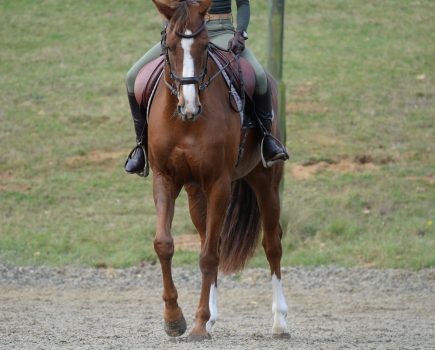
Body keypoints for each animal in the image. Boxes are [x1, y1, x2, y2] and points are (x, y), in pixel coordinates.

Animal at [148, 0, 292, 340]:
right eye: (169, 46)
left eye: (203, 46)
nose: (189, 106)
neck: (185, 123)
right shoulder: (165, 179)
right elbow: (165, 244)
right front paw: (175, 319)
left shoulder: (219, 184)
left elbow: (210, 255)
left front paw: (199, 323)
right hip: (195, 191)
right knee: (208, 238)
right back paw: (212, 316)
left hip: (265, 180)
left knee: (272, 244)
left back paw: (279, 321)